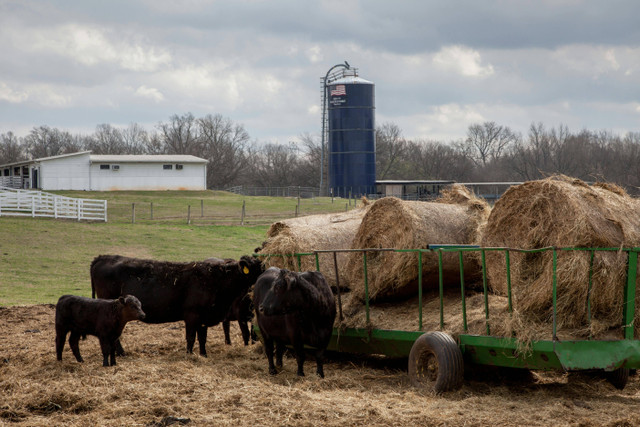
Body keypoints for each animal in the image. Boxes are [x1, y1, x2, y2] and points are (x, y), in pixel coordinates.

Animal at [90, 256, 262, 356]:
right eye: (260, 266)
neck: (216, 279)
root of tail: (103, 257)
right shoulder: (192, 315)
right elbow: (191, 337)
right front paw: (189, 355)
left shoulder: (204, 316)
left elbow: (202, 338)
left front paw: (203, 354)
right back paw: (121, 353)